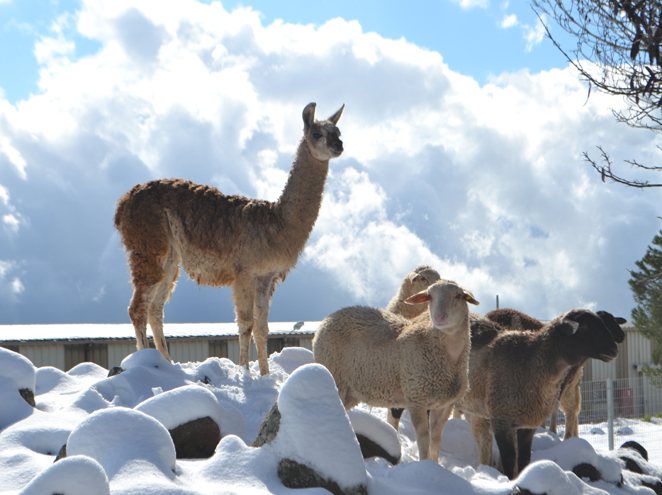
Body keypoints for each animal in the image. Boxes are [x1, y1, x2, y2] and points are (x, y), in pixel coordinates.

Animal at [314, 280, 480, 464]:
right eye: (430, 296)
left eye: (458, 296)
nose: (439, 318)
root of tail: (328, 318)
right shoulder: (416, 398)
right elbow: (423, 438)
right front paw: (425, 464)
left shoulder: (445, 405)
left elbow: (436, 439)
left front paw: (435, 465)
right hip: (335, 375)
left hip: (351, 391)